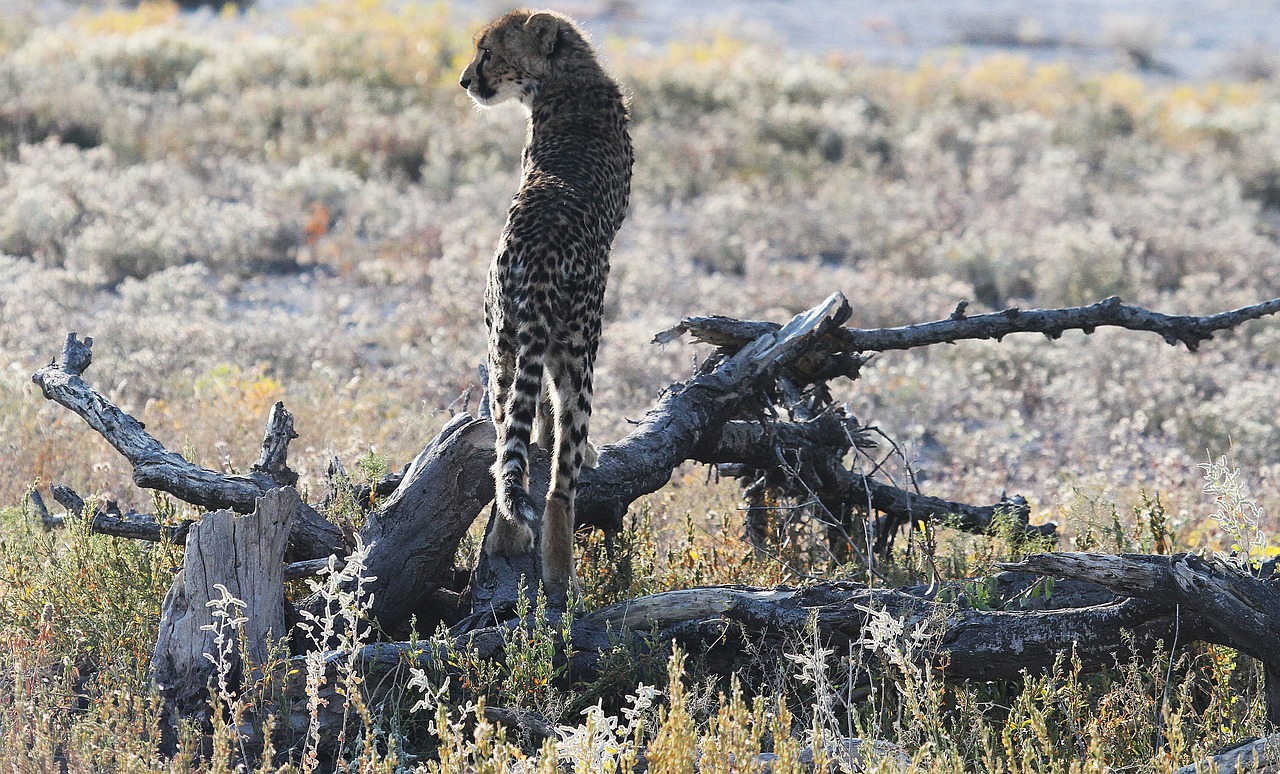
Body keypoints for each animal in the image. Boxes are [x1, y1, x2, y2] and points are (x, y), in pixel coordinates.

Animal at [465, 7, 634, 603]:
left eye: (488, 51)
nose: (465, 80)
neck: (567, 75)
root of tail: (538, 254)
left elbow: (530, 414)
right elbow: (551, 424)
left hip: (502, 343)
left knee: (502, 446)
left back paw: (506, 534)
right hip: (582, 349)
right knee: (563, 480)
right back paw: (560, 570)